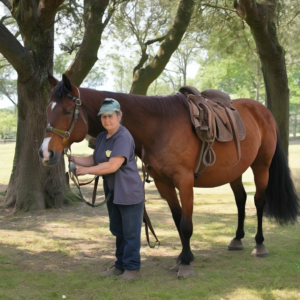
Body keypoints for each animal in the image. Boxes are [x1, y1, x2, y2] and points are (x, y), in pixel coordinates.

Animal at [38, 74, 298, 276]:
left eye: (68, 111)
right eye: (47, 111)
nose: (45, 152)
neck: (159, 126)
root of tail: (263, 111)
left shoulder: (184, 182)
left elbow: (186, 224)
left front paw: (185, 264)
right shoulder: (164, 183)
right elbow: (177, 219)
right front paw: (185, 255)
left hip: (261, 166)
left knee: (259, 201)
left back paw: (259, 244)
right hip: (235, 171)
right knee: (241, 200)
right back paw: (237, 239)